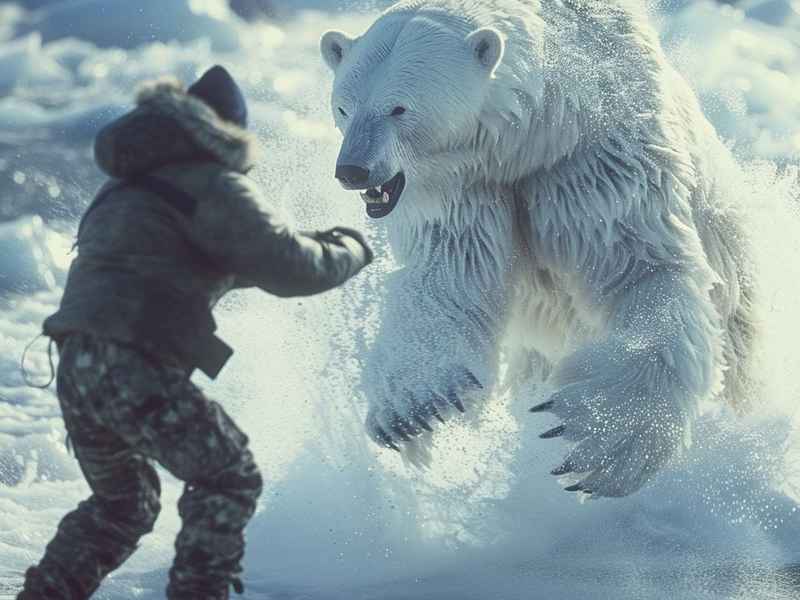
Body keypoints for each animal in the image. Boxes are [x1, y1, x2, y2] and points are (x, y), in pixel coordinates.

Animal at [320, 0, 757, 498]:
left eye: (398, 107)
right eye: (344, 107)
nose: (353, 170)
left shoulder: (595, 157)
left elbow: (640, 268)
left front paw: (599, 436)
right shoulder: (462, 186)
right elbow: (448, 275)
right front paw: (411, 408)